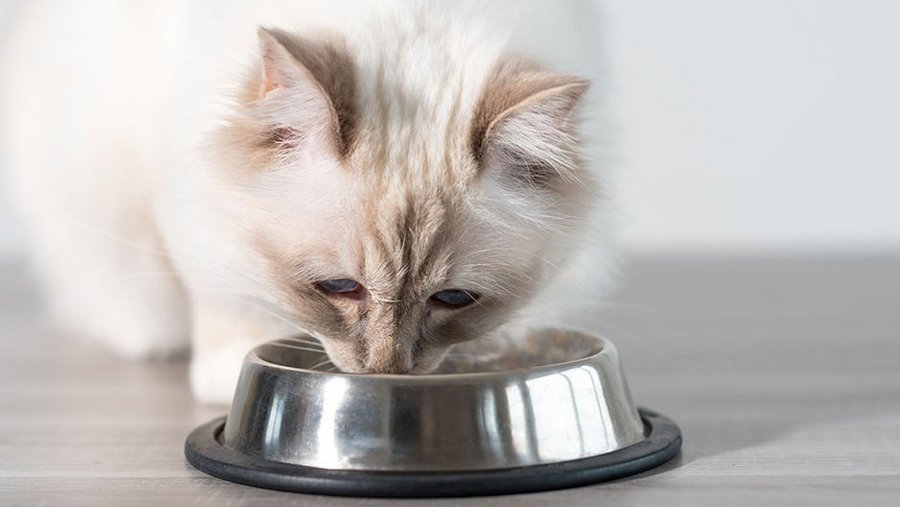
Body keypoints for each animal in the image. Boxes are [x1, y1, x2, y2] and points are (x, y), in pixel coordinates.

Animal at [0, 0, 616, 404]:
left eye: (454, 299)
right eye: (339, 288)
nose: (386, 372)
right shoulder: (190, 203)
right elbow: (228, 300)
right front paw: (230, 371)